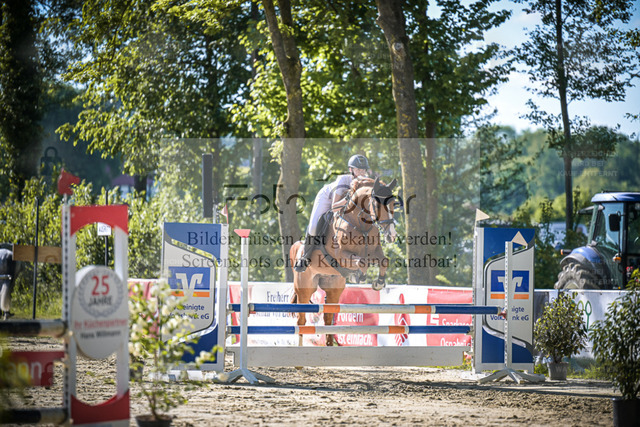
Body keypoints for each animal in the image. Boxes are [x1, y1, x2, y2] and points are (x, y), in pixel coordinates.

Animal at [289, 177, 398, 346]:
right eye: (377, 204)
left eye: (393, 203)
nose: (391, 235)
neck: (361, 225)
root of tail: (297, 248)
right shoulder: (341, 255)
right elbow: (362, 262)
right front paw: (359, 275)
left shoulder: (375, 252)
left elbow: (383, 261)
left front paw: (378, 283)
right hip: (305, 287)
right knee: (301, 321)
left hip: (333, 287)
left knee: (328, 318)